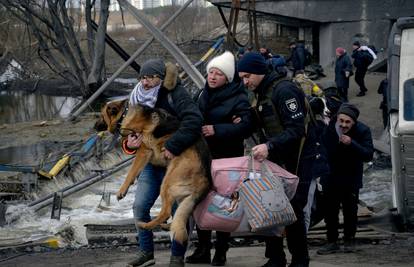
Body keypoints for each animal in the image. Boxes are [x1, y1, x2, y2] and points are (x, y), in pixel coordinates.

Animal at [118, 105, 212, 245]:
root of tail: (206, 180)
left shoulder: (143, 150)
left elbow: (131, 172)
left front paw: (122, 190)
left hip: (167, 183)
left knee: (166, 212)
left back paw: (145, 225)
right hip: (183, 197)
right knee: (182, 218)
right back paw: (168, 226)